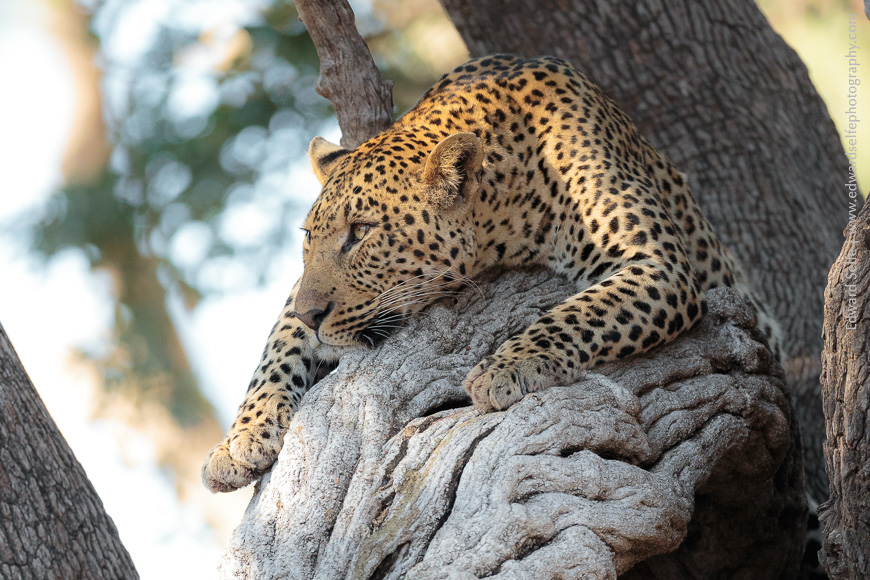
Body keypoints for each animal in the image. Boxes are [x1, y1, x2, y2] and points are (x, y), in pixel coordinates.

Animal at [202, 54, 781, 493]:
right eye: (308, 237)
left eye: (361, 231)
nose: (313, 314)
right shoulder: (299, 295)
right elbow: (277, 348)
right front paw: (240, 441)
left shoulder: (658, 262)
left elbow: (579, 314)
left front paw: (506, 369)